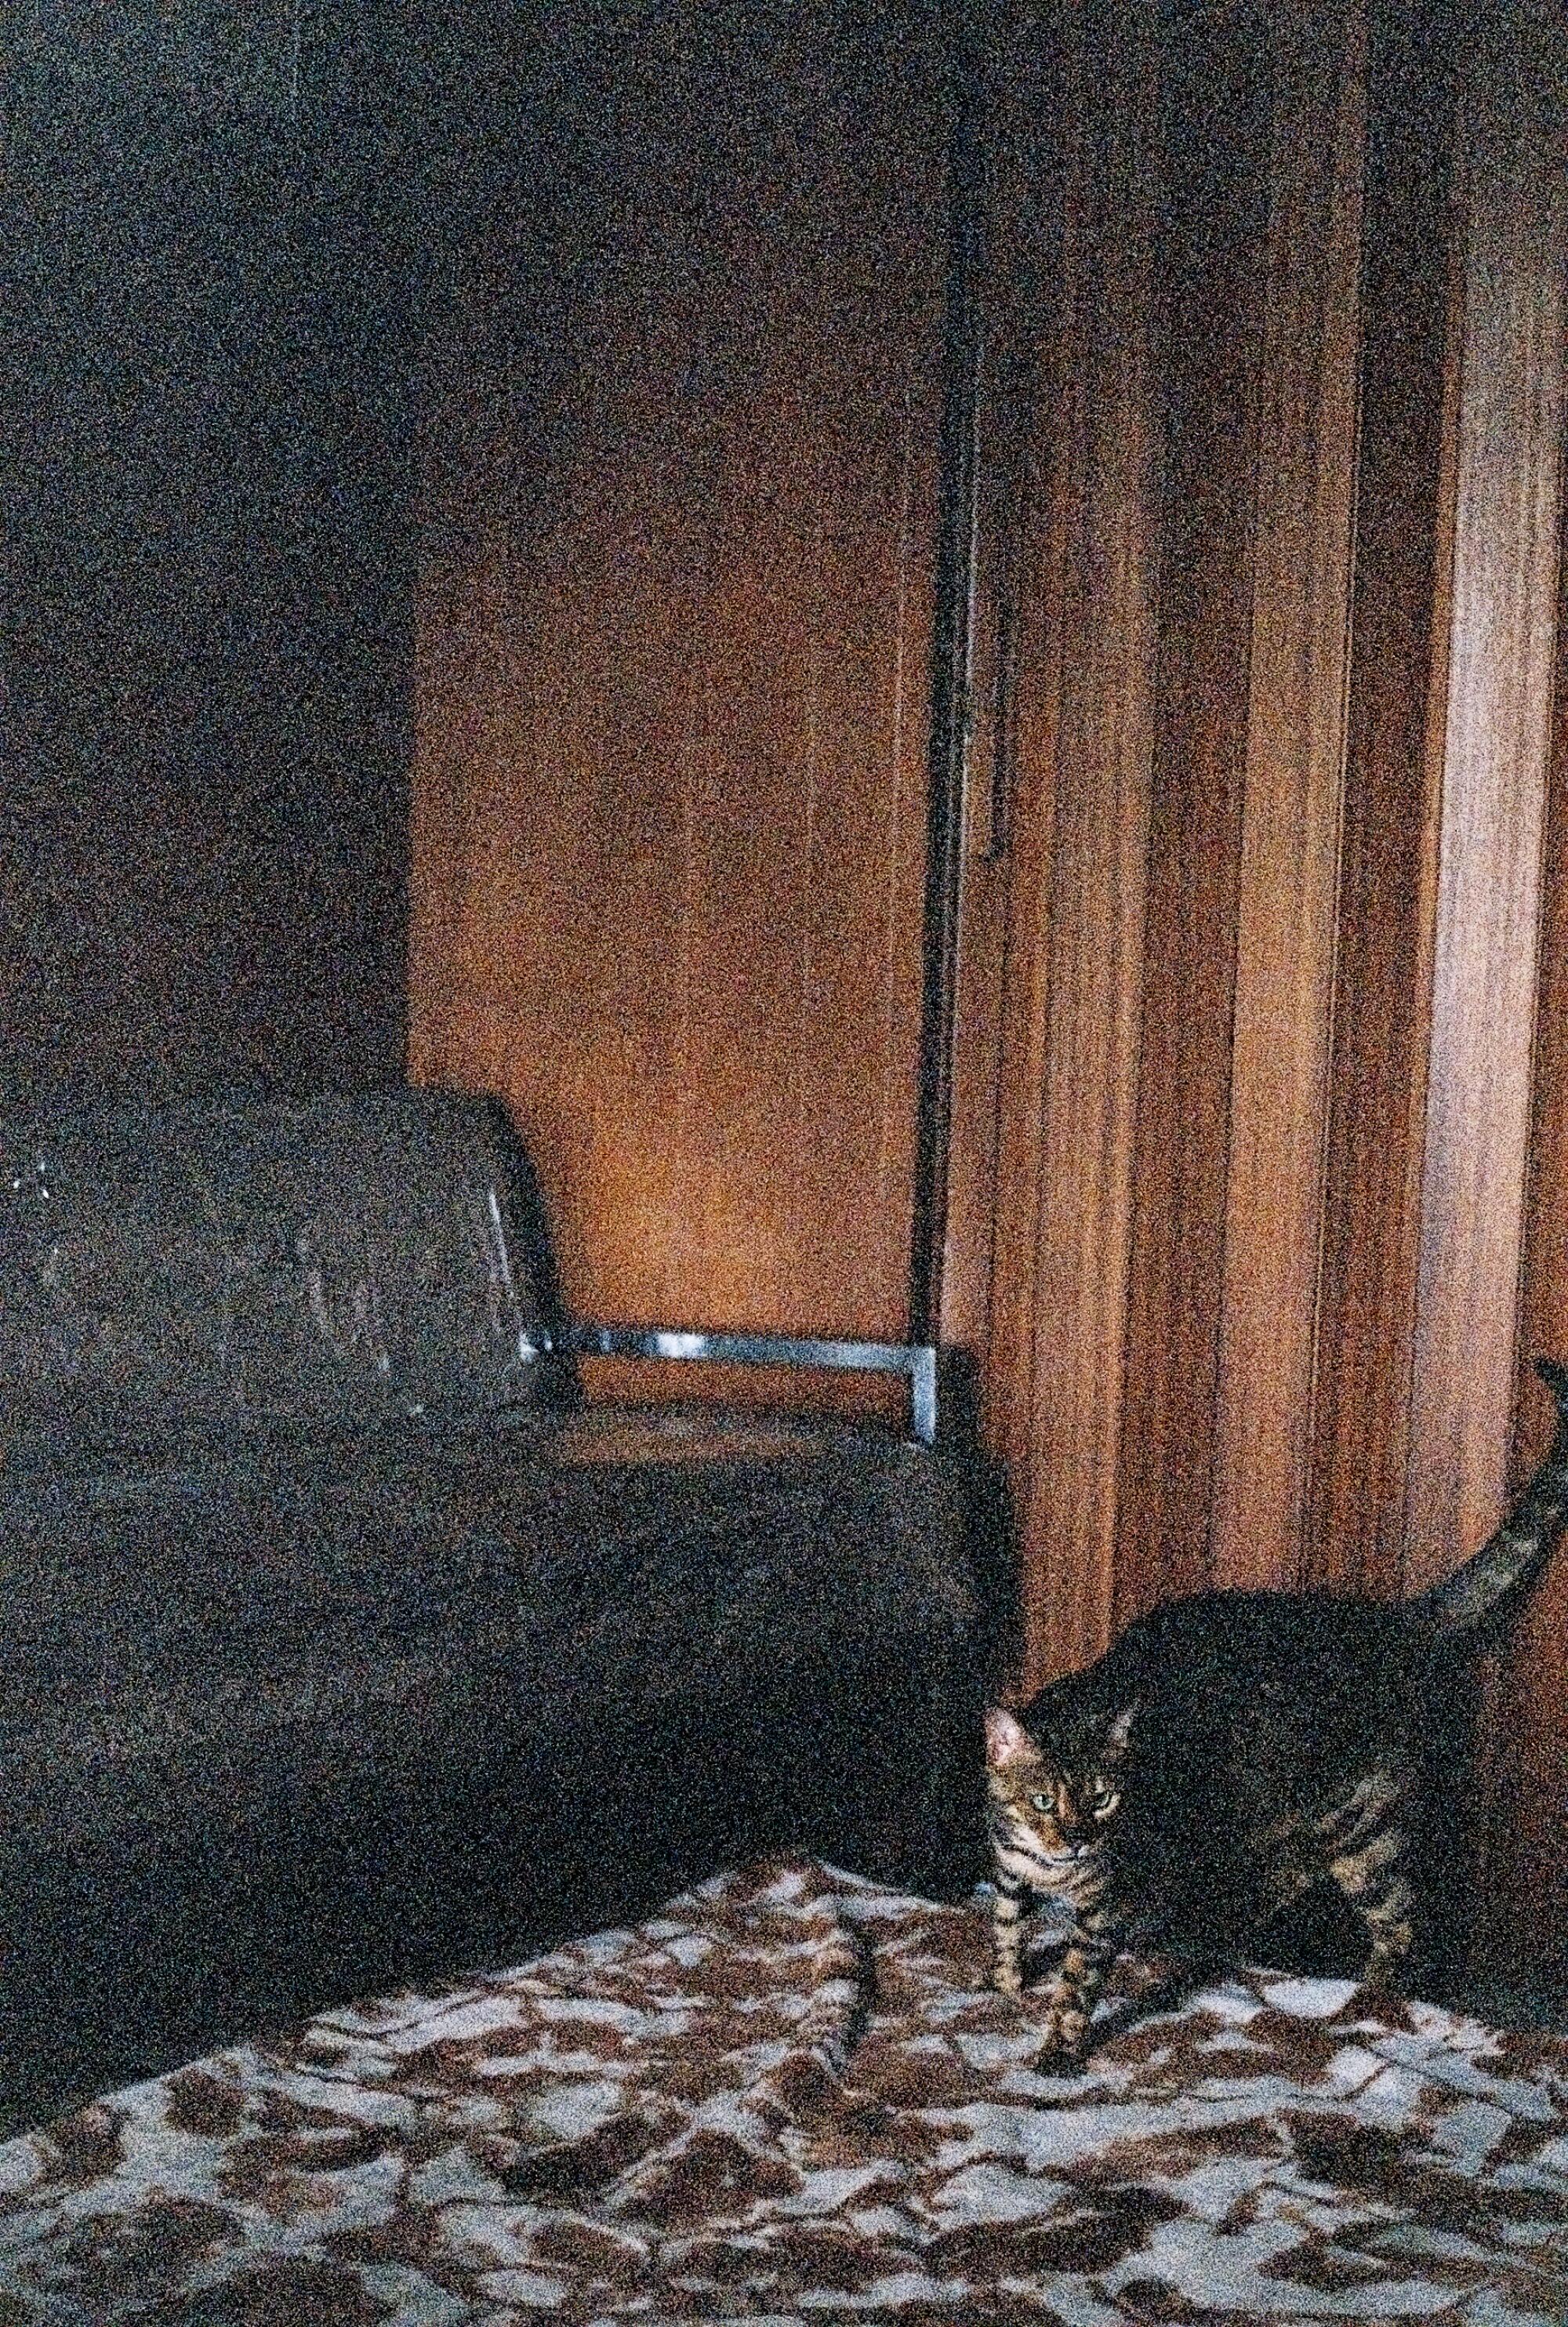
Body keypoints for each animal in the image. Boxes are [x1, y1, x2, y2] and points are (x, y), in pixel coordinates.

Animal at [982, 1359, 1563, 2066]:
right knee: (1289, 1882)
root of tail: (1385, 1623)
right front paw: (1006, 1979)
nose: (1075, 1841)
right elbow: (1006, 1920)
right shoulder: (1009, 1869)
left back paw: (1365, 2003)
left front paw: (1059, 2050)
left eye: (1102, 1800)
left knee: (1399, 1922)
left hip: (1361, 1830)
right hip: (1287, 1825)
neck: (1049, 1868)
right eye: (1043, 1801)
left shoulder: (1103, 1907)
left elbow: (1077, 1981)